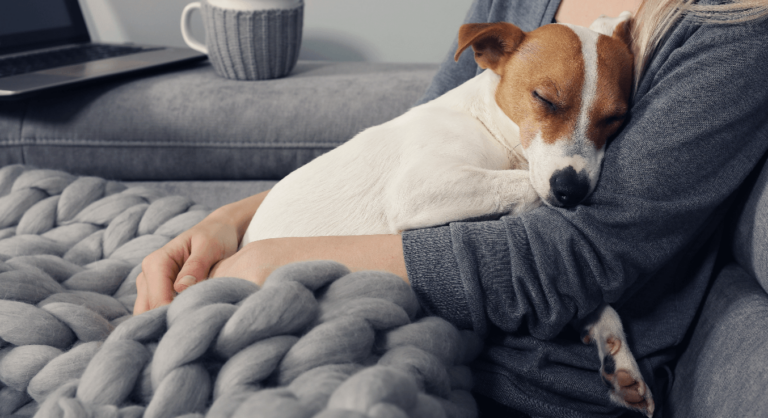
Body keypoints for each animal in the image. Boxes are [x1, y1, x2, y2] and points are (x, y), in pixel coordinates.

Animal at [242, 11, 656, 416]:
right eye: (543, 99)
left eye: (615, 118)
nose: (572, 190)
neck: (491, 128)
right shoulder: (418, 188)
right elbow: (522, 185)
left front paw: (615, 349)